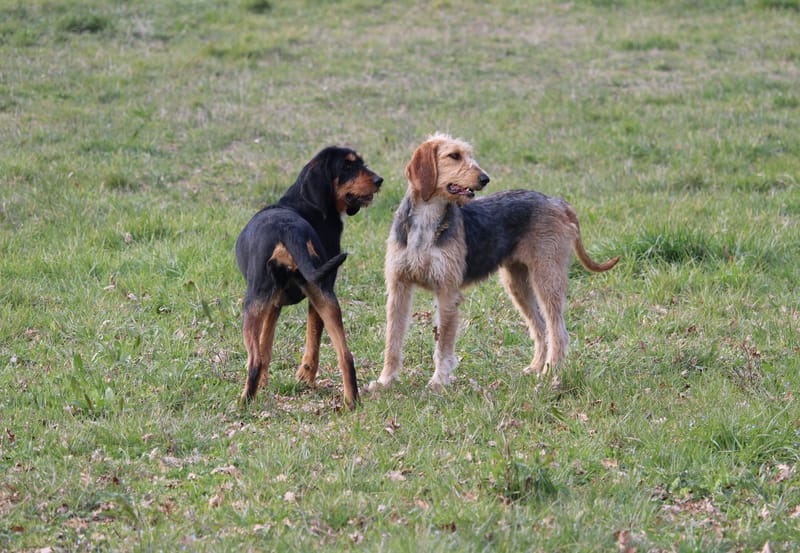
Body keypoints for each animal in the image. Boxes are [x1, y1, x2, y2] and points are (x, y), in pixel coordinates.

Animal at [236, 146, 382, 406]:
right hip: (324, 296)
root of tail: (288, 229)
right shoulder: (274, 305)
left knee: (253, 360)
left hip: (253, 302)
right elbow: (267, 345)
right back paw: (351, 402)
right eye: (348, 165)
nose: (379, 180)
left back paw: (244, 403)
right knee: (346, 355)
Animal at [368, 133, 620, 390]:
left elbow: (443, 346)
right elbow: (392, 341)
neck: (426, 222)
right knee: (540, 327)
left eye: (469, 155)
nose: (485, 179)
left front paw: (438, 382)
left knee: (558, 331)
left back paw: (550, 373)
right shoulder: (399, 288)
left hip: (547, 278)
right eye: (454, 156)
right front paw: (385, 381)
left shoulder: (447, 292)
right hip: (517, 283)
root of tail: (555, 201)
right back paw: (536, 367)